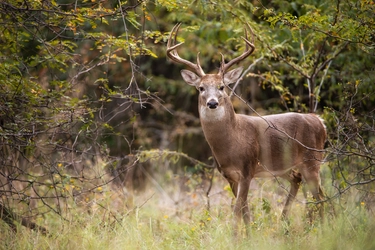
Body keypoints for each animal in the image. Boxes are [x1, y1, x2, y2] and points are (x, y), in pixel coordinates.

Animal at [166, 23, 328, 232]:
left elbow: (237, 210)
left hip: (312, 160)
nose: (212, 103)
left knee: (320, 197)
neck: (232, 141)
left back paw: (323, 228)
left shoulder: (247, 169)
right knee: (300, 182)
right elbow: (245, 211)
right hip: (285, 166)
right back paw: (286, 222)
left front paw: (236, 236)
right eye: (201, 88)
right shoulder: (229, 175)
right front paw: (249, 234)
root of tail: (319, 121)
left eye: (222, 86)